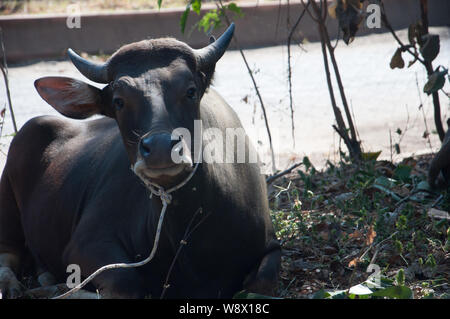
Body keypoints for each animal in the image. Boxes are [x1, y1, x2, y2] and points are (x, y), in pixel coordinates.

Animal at [0, 25, 282, 300]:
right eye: (119, 101)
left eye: (190, 91)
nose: (160, 148)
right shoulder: (85, 244)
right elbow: (126, 285)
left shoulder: (270, 245)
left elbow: (262, 283)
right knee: (8, 254)